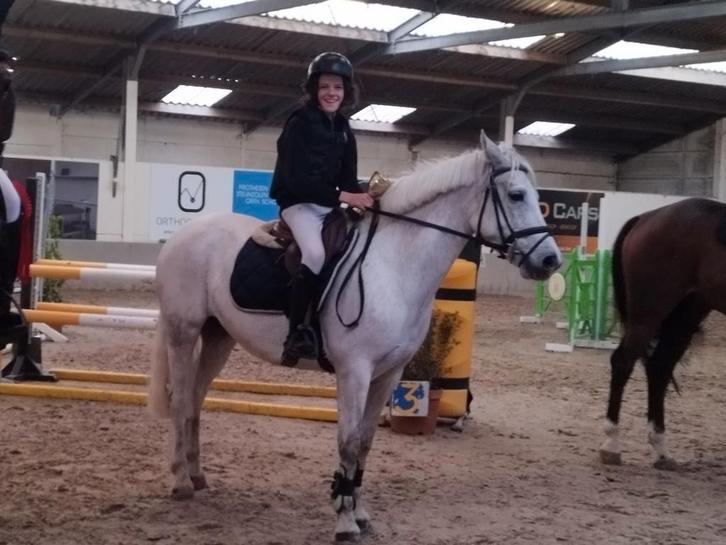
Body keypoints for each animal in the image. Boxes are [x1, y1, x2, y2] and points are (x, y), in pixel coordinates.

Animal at [148, 134, 562, 541]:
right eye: (516, 195)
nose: (550, 261)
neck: (394, 265)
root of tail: (182, 235)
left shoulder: (389, 374)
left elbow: (364, 442)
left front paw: (358, 511)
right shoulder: (355, 371)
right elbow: (347, 442)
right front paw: (344, 521)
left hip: (219, 337)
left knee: (196, 399)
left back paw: (197, 475)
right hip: (184, 332)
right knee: (181, 398)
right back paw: (181, 481)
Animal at [600, 197, 726, 469]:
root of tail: (646, 217)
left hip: (687, 314)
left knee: (659, 367)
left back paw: (661, 451)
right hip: (650, 313)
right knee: (623, 362)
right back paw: (612, 444)